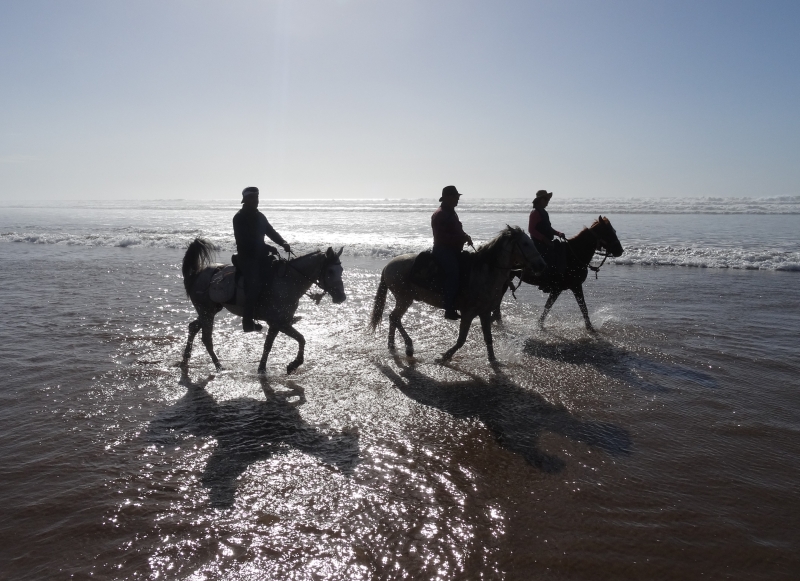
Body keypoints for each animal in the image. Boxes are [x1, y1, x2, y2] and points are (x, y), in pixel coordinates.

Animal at [180, 238, 346, 374]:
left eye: (341, 270)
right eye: (330, 271)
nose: (341, 297)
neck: (288, 281)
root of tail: (198, 272)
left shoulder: (279, 323)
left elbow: (272, 344)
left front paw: (265, 368)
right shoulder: (279, 323)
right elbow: (299, 339)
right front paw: (293, 364)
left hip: (212, 310)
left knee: (193, 327)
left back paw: (185, 359)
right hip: (207, 311)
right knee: (206, 338)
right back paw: (218, 366)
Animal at [370, 227, 548, 362]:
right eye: (525, 243)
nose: (541, 265)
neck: (484, 272)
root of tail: (387, 266)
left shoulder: (484, 312)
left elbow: (488, 337)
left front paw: (493, 360)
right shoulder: (468, 313)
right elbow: (462, 339)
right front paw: (445, 356)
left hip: (404, 299)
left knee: (393, 318)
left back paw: (392, 344)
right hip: (404, 299)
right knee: (394, 318)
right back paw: (408, 346)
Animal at [494, 214, 624, 334]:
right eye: (609, 232)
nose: (620, 250)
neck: (573, 255)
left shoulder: (570, 287)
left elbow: (579, 307)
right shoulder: (566, 287)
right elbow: (555, 306)